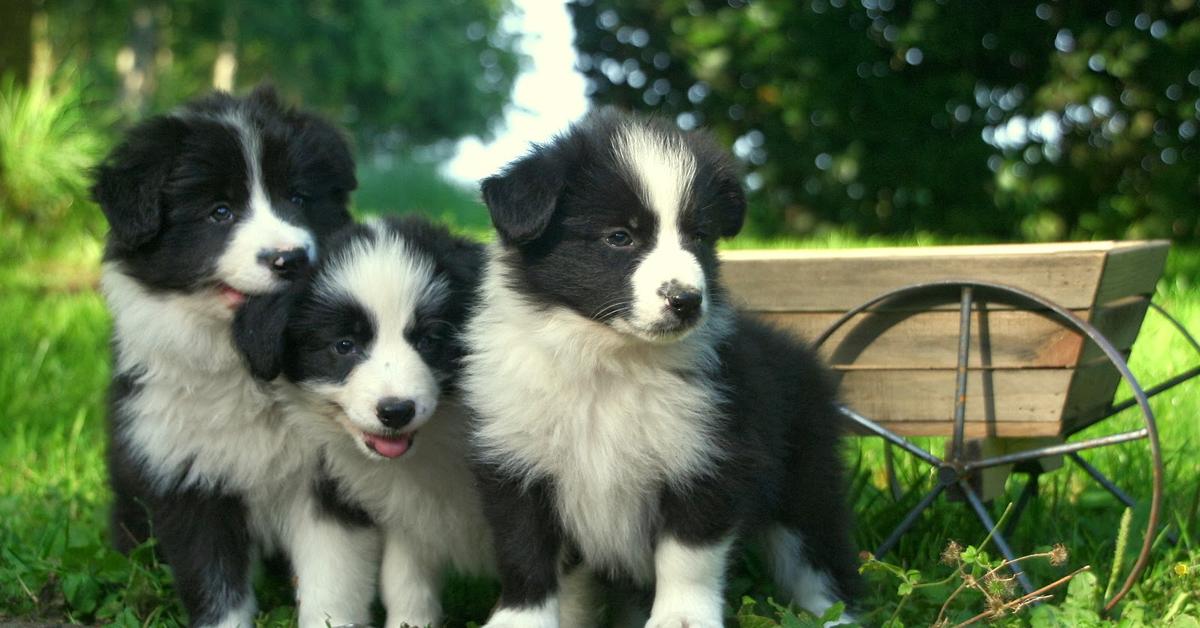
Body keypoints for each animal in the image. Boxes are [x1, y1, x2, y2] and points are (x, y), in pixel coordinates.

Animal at [94, 84, 369, 628]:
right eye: (219, 211)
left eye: (298, 198)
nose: (289, 259)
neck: (244, 364)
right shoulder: (187, 478)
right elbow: (215, 584)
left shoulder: (330, 479)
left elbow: (332, 582)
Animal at [458, 109, 864, 628]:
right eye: (620, 236)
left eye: (699, 237)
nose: (686, 300)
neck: (610, 359)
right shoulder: (514, 462)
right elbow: (524, 553)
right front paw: (520, 621)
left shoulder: (707, 455)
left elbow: (688, 555)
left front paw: (682, 619)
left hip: (805, 478)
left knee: (818, 557)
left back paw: (834, 613)